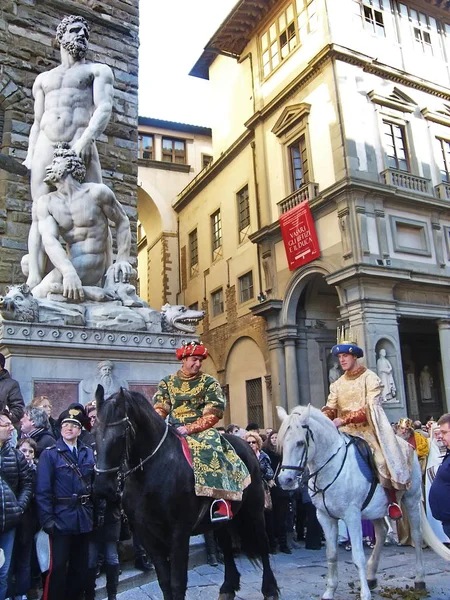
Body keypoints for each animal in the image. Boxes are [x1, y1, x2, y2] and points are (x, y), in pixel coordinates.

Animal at [93, 386, 280, 600]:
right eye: (94, 435)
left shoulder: (179, 532)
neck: (152, 475)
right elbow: (164, 582)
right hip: (222, 519)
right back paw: (227, 587)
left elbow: (177, 583)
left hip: (254, 508)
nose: (102, 487)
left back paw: (270, 589)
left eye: (120, 436)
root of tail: (247, 446)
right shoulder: (147, 534)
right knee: (226, 544)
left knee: (263, 543)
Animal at [274, 404, 450, 600]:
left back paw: (419, 579)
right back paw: (371, 576)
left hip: (411, 499)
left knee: (417, 536)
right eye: (281, 444)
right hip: (376, 509)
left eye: (300, 443)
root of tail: (407, 445)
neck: (330, 466)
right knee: (381, 532)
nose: (285, 480)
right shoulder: (324, 516)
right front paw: (330, 590)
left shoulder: (351, 515)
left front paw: (364, 594)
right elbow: (331, 554)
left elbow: (358, 557)